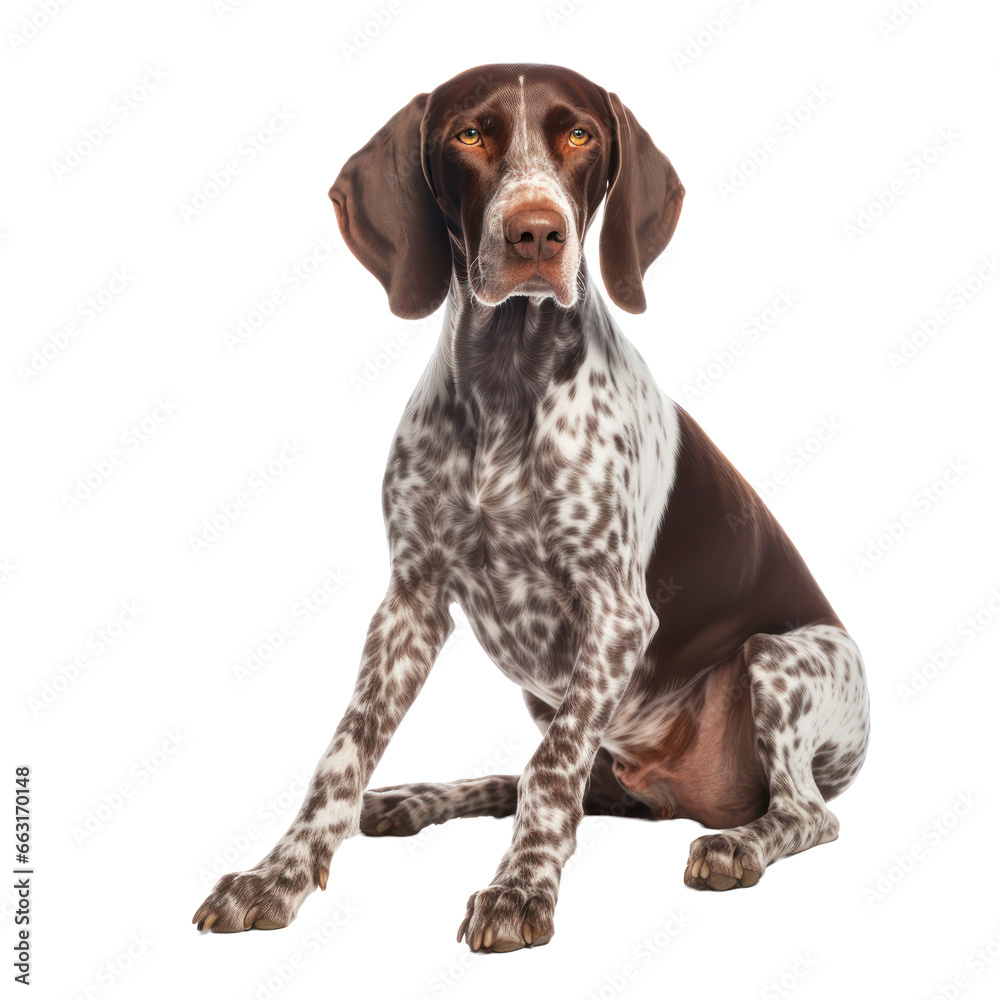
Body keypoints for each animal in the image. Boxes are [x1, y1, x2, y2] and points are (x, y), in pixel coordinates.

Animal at [193, 62, 868, 952]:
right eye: (469, 134)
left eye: (580, 134)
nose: (537, 234)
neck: (507, 376)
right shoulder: (410, 604)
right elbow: (347, 749)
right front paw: (279, 874)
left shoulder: (616, 614)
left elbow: (552, 772)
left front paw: (520, 892)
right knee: (533, 780)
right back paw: (414, 799)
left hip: (781, 660)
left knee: (805, 814)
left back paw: (737, 845)